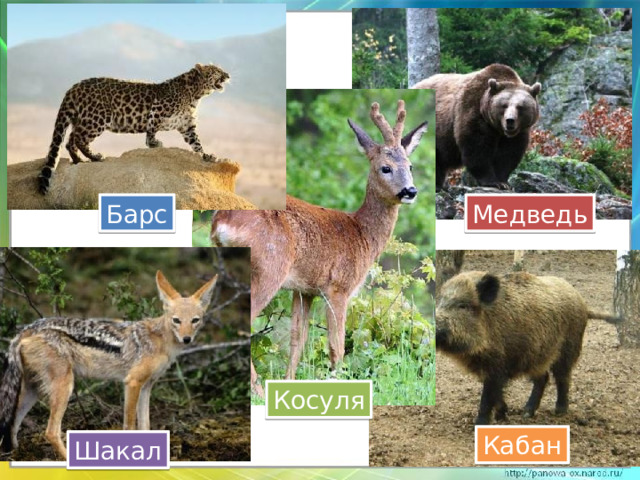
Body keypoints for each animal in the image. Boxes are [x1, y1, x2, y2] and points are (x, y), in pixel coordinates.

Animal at [413, 64, 541, 190]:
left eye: (520, 107)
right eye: (504, 105)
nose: (510, 121)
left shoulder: (518, 132)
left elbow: (508, 154)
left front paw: (504, 182)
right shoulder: (473, 112)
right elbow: (477, 148)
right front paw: (492, 182)